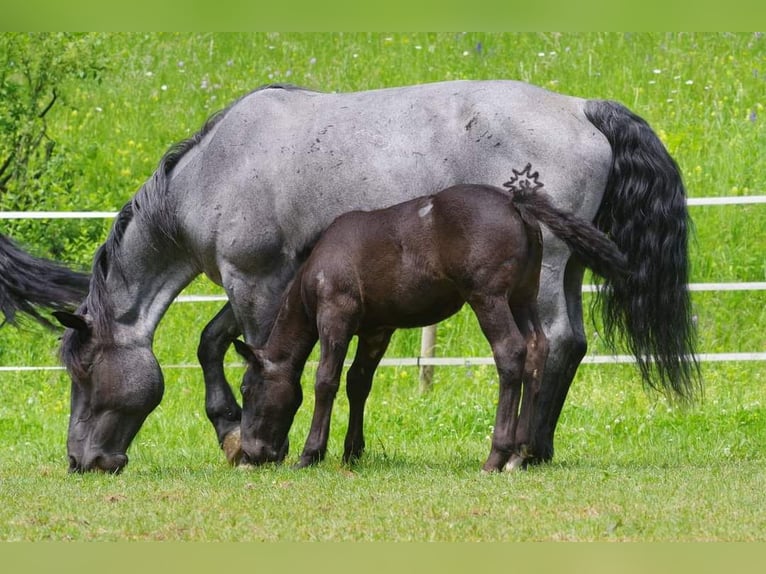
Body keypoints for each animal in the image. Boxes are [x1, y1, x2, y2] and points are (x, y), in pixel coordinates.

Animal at [234, 183, 632, 472]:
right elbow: (358, 382)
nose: (250, 454)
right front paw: (352, 451)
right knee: (537, 349)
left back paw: (497, 455)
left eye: (247, 389)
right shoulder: (377, 330)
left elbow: (326, 380)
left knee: (511, 352)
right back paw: (520, 453)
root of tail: (516, 204)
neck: (316, 266)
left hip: (488, 297)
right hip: (523, 297)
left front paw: (310, 453)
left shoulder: (335, 315)